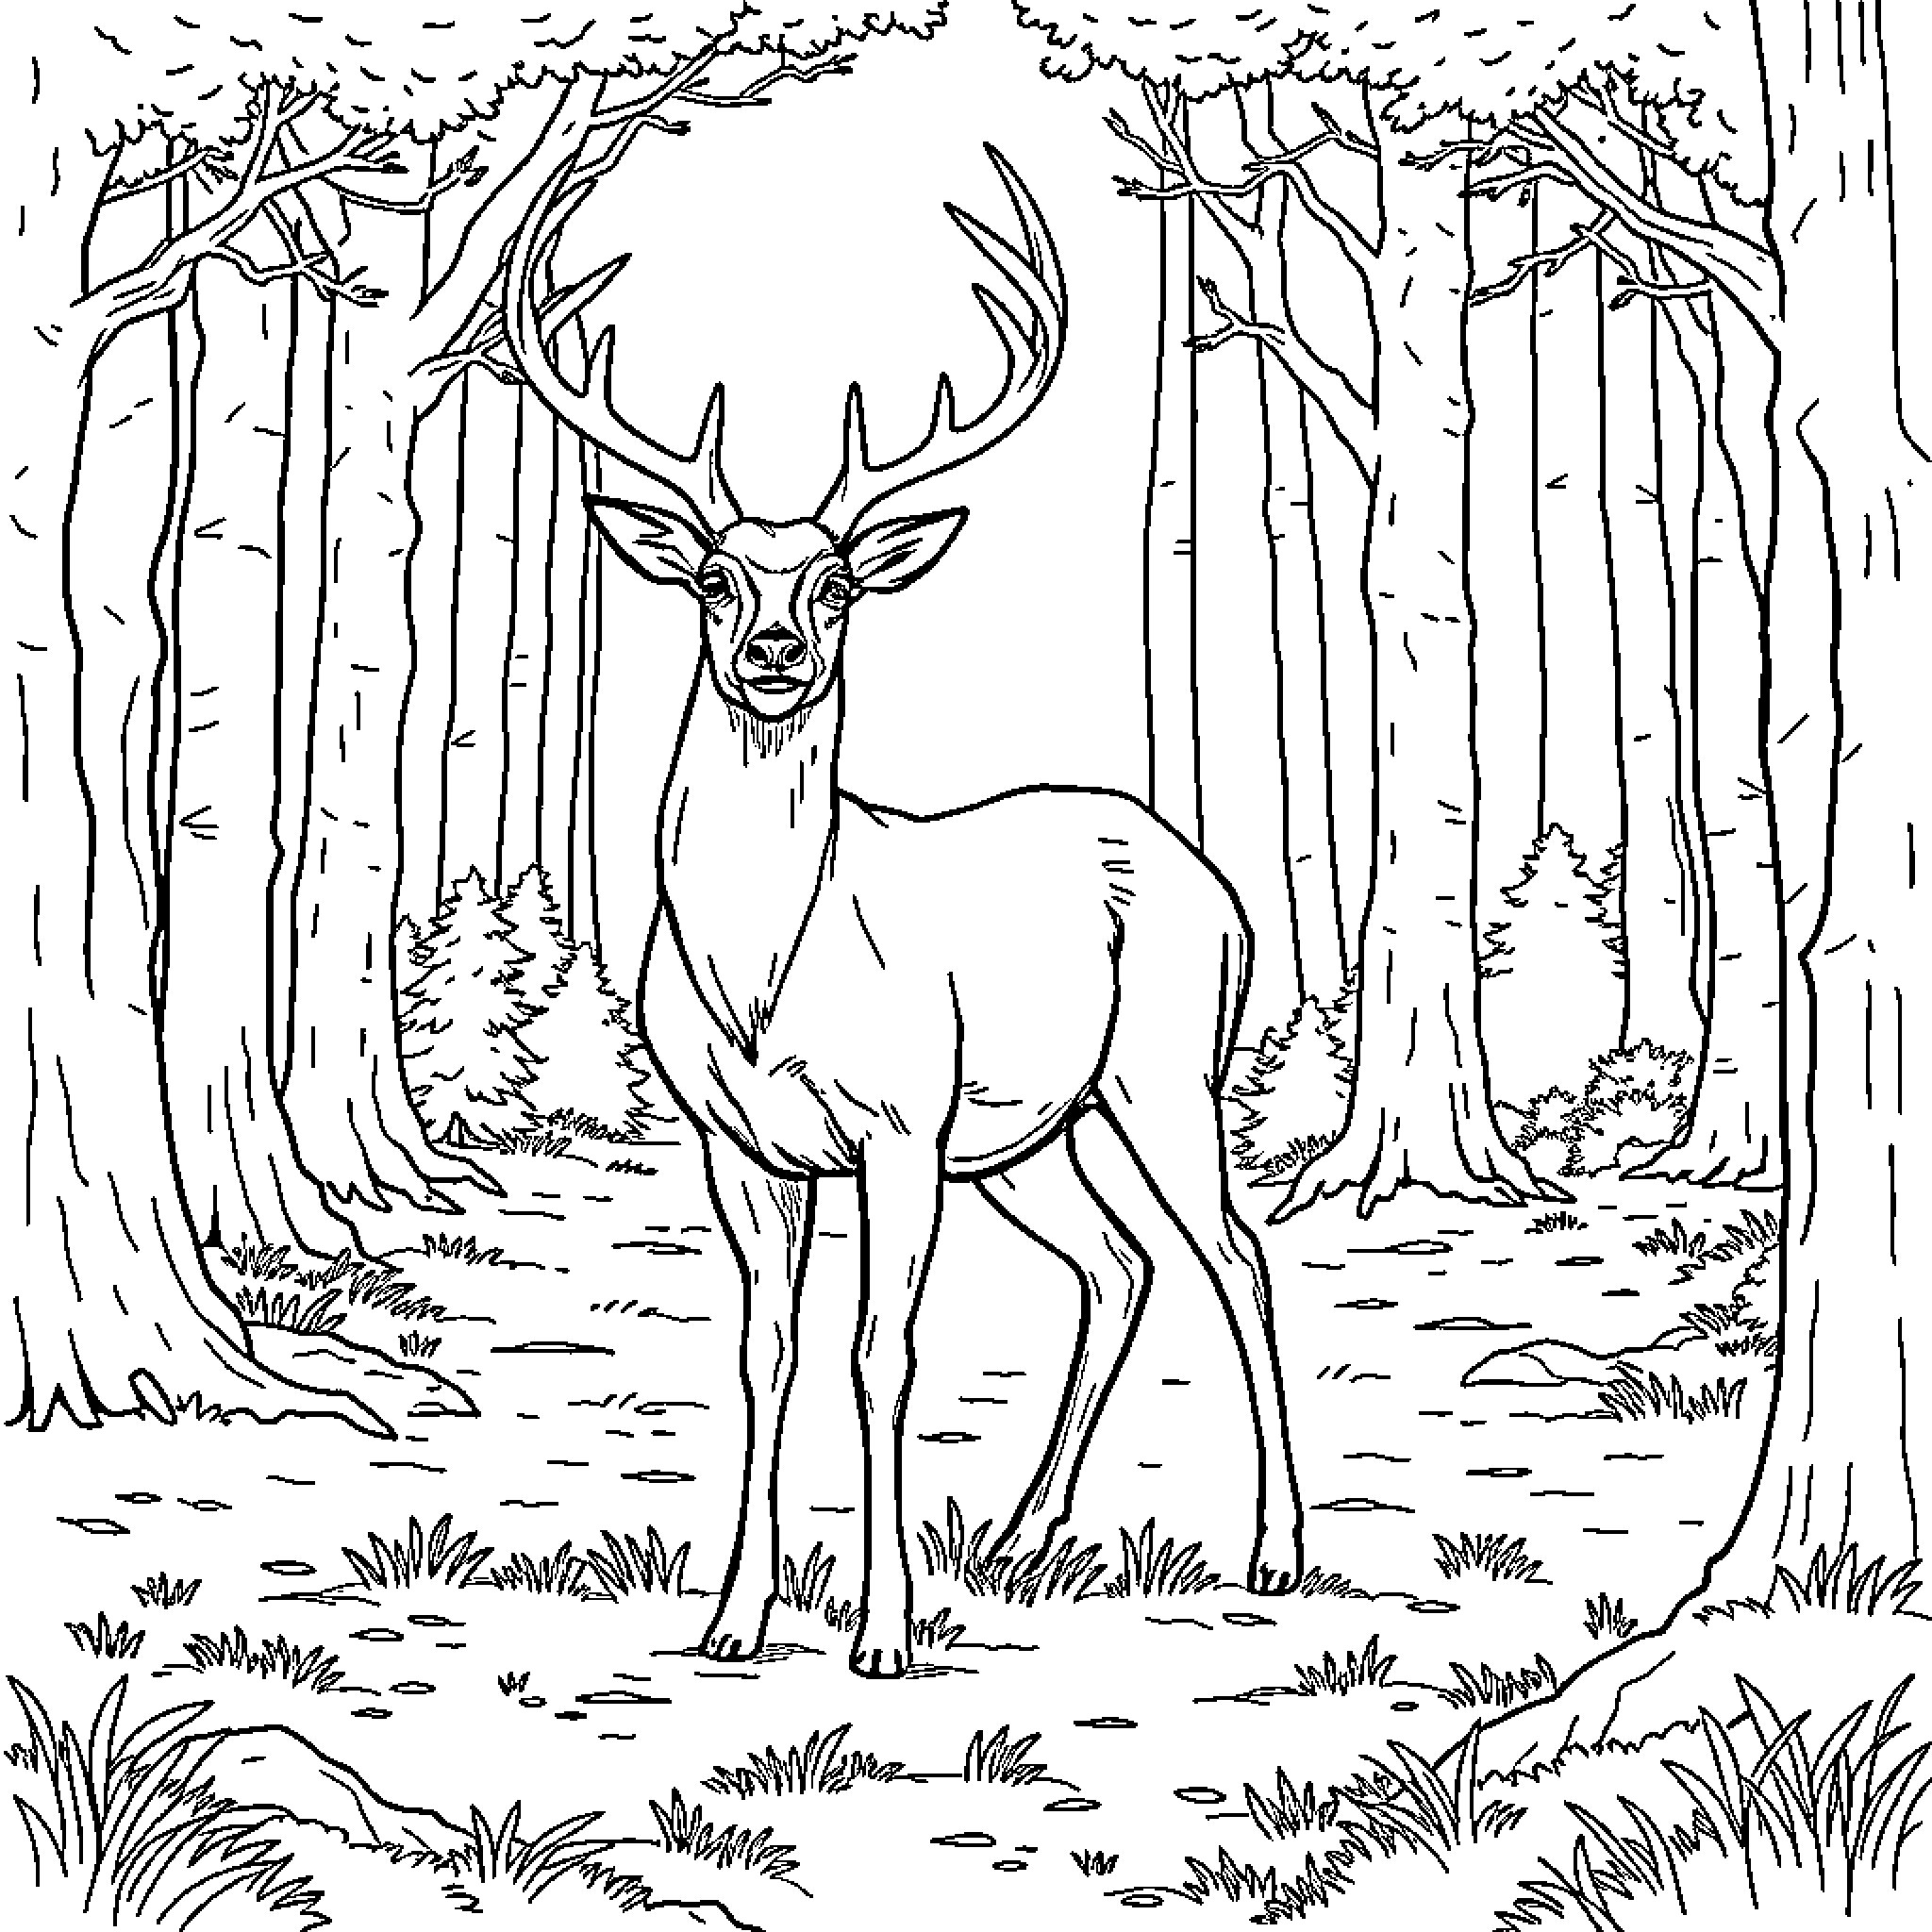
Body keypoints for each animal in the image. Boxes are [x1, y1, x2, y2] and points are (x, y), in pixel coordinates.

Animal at [508, 145, 1303, 1678]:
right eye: (713, 576)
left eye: (832, 583)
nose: (773, 652)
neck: (764, 979)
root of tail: (1212, 881)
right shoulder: (739, 1139)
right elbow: (765, 1350)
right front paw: (735, 1617)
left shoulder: (893, 1123)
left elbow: (884, 1352)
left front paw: (881, 1628)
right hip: (1033, 1129)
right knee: (1117, 1265)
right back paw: (1020, 1535)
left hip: (1159, 1066)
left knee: (1235, 1256)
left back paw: (1275, 1548)